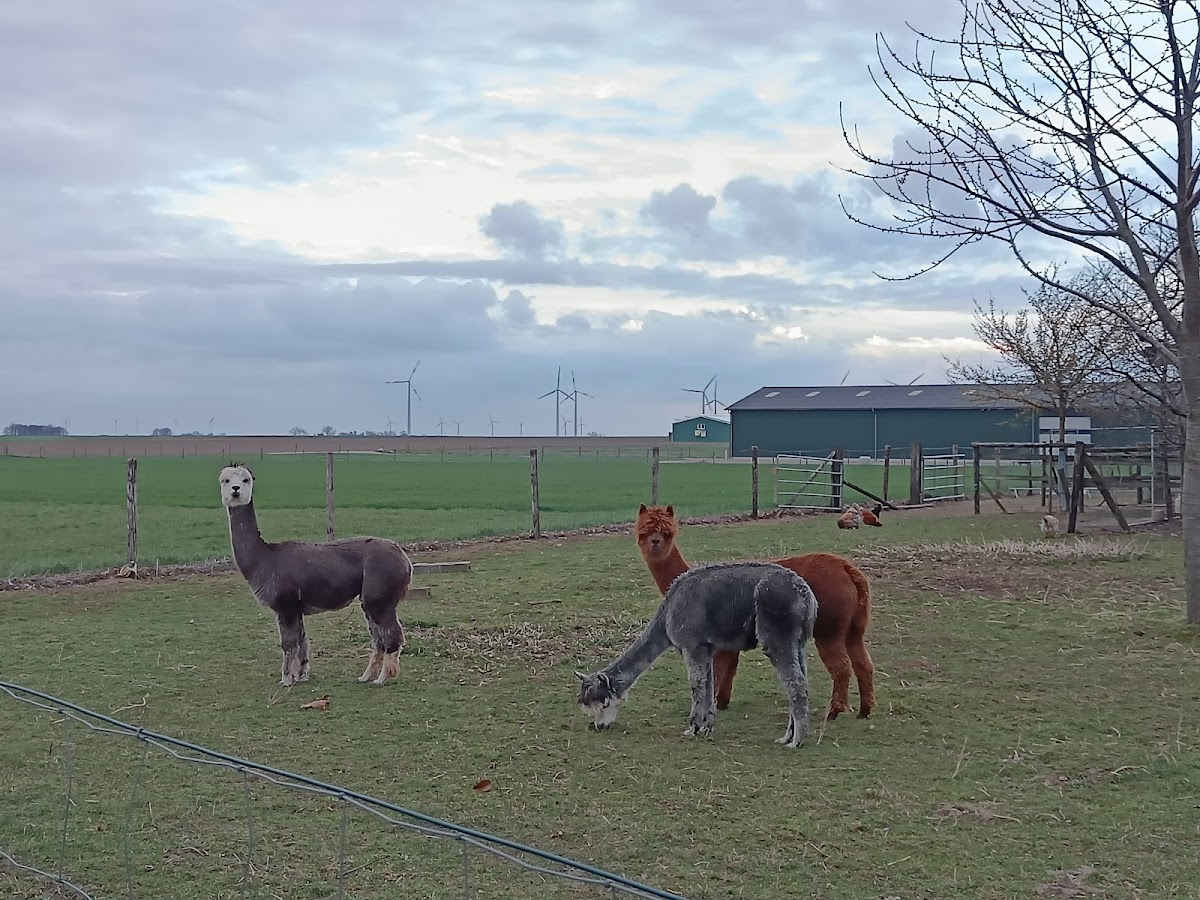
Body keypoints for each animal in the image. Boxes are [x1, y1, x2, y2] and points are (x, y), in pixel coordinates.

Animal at [219, 463, 413, 687]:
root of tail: (403, 557)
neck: (265, 559)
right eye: (225, 480)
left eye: (246, 480)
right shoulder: (296, 608)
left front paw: (286, 680)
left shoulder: (285, 605)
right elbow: (302, 642)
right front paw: (301, 675)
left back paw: (381, 679)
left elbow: (289, 643)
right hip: (371, 599)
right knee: (378, 638)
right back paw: (365, 677)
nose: (235, 490)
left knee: (392, 636)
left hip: (379, 594)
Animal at [576, 561, 818, 748]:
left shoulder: (691, 645)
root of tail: (807, 596)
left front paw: (692, 728)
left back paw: (795, 741)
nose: (599, 726)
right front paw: (706, 727)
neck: (667, 617)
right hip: (798, 642)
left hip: (777, 633)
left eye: (603, 703)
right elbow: (709, 684)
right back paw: (788, 736)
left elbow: (696, 684)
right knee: (802, 681)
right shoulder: (705, 647)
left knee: (796, 685)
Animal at [635, 503, 875, 719]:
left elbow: (717, 671)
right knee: (863, 662)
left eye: (668, 532)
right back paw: (865, 710)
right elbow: (729, 670)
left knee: (842, 667)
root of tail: (848, 570)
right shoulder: (728, 640)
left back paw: (835, 711)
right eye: (643, 531)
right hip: (854, 626)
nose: (655, 543)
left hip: (829, 627)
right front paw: (722, 702)